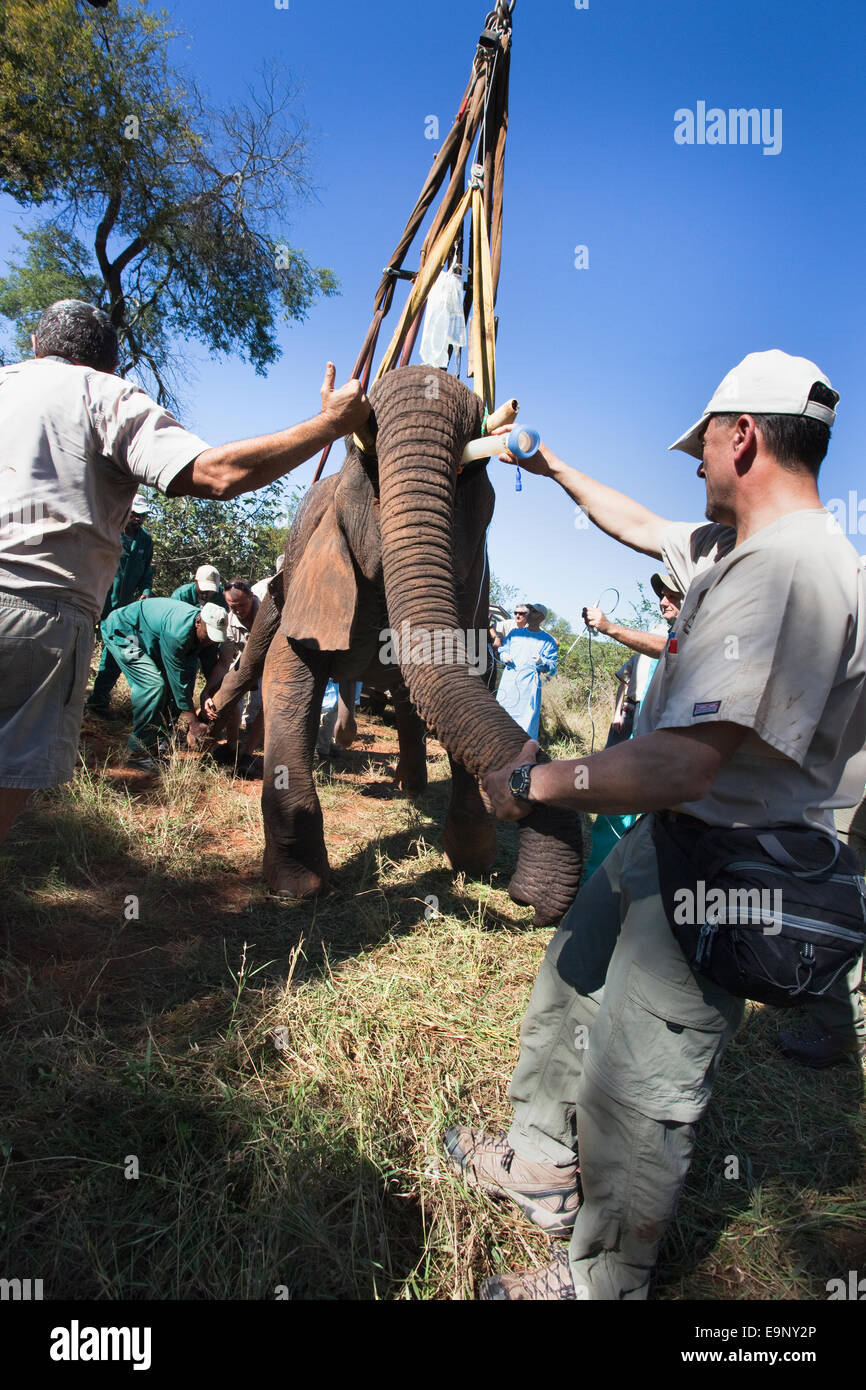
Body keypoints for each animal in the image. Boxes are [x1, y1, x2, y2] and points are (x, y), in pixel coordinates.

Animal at [211, 364, 589, 922]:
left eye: (468, 477)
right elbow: (288, 670)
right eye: (368, 469)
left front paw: (475, 863)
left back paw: (409, 785)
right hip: (279, 584)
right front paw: (298, 887)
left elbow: (473, 677)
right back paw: (206, 729)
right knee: (254, 658)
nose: (527, 898)